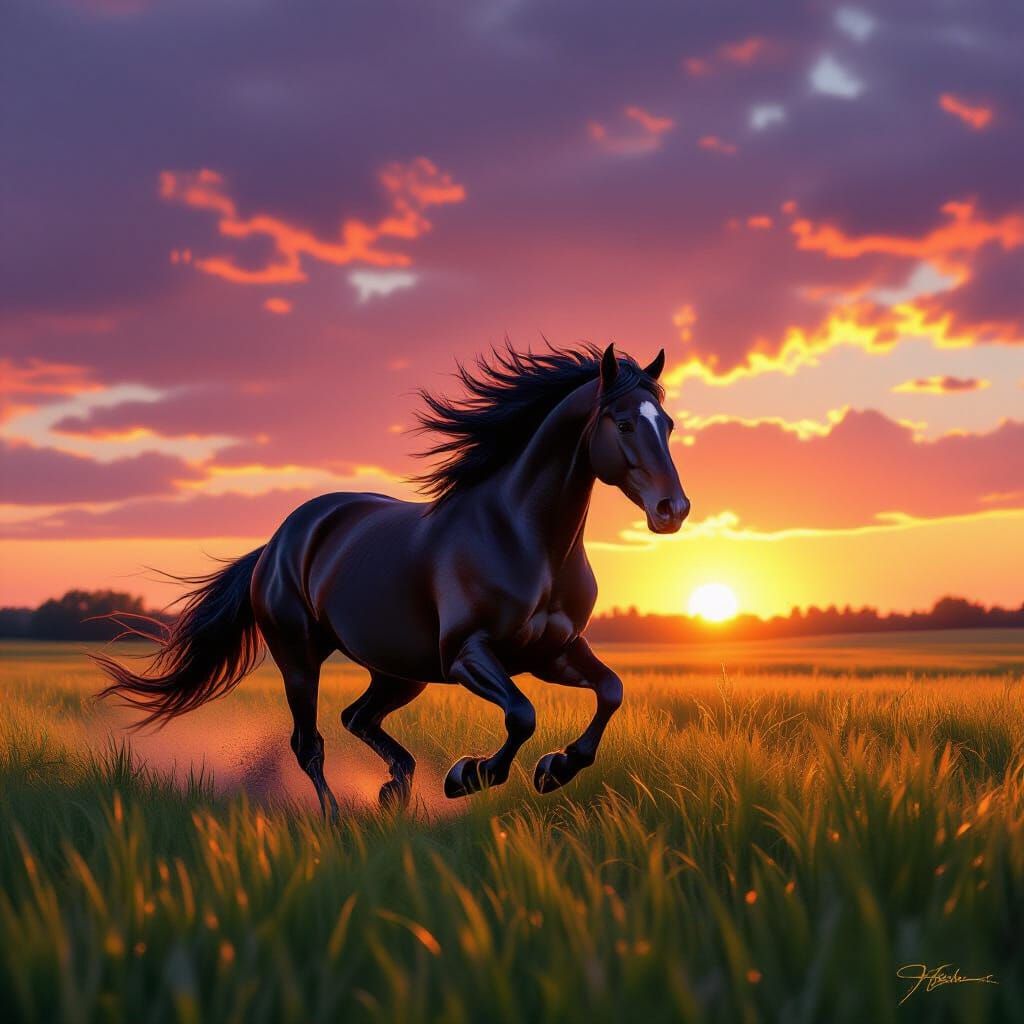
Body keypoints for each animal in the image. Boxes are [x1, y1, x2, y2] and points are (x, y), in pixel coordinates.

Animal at [95, 343, 690, 813]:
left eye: (668, 425)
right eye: (624, 423)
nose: (673, 509)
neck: (524, 540)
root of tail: (281, 540)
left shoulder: (555, 651)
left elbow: (610, 691)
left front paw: (554, 769)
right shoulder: (468, 655)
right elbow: (521, 714)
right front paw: (469, 775)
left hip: (401, 671)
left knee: (357, 718)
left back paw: (395, 786)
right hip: (299, 658)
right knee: (309, 743)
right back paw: (339, 819)